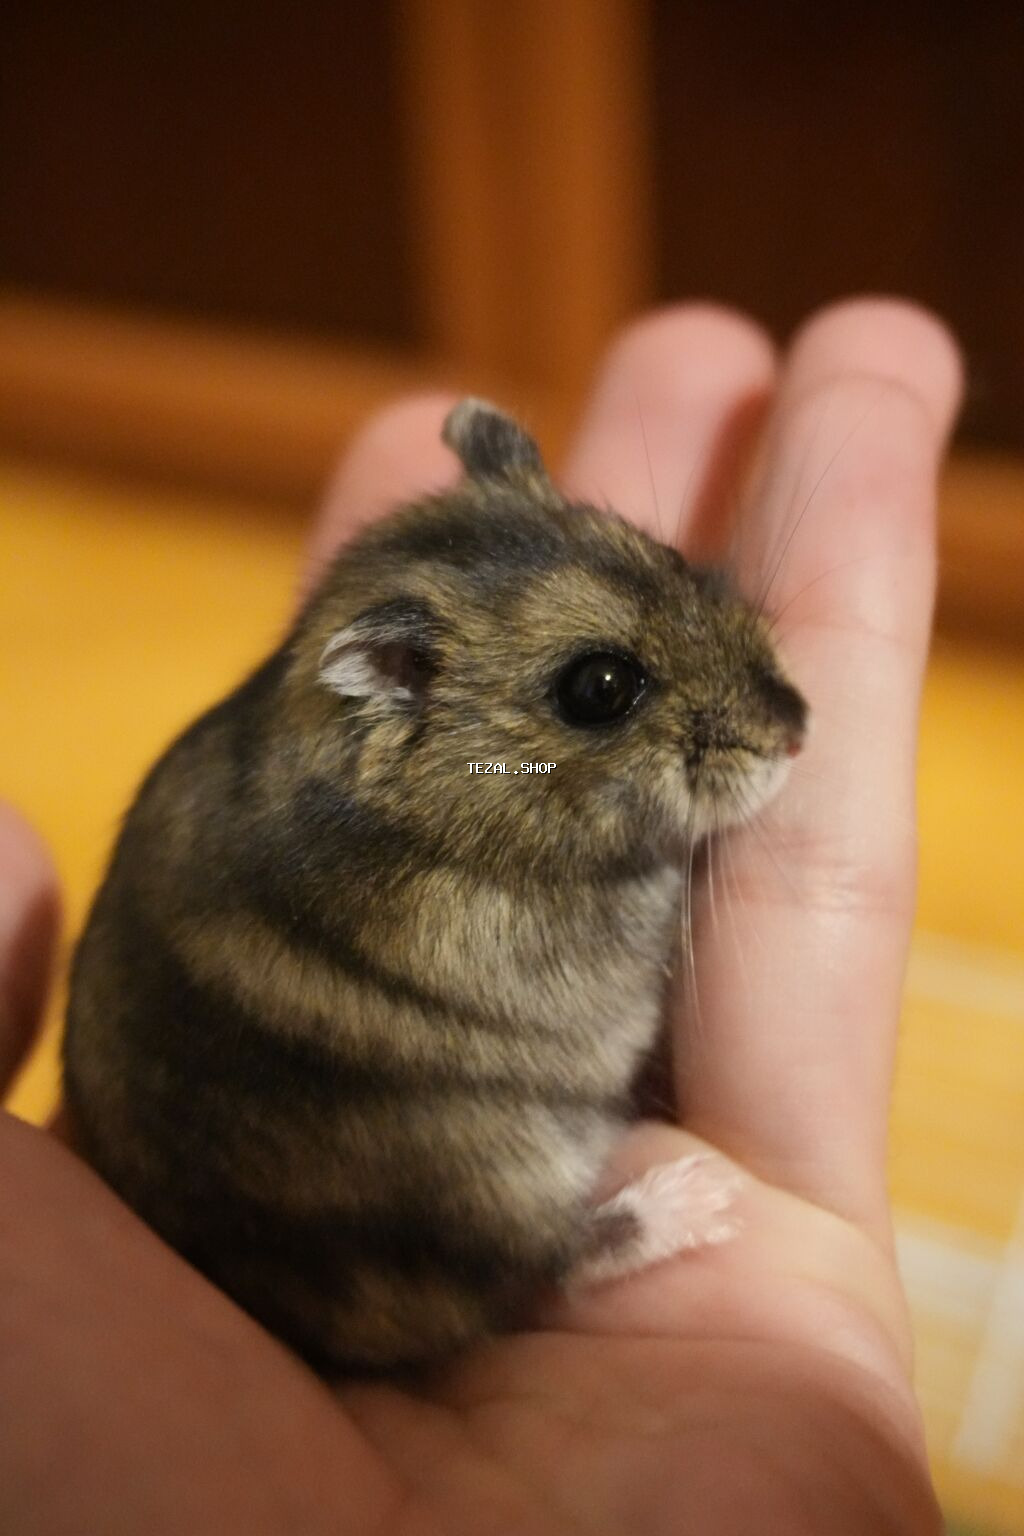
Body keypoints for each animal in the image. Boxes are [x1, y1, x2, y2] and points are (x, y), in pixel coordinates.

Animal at [63, 399, 807, 1377]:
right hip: (496, 1174)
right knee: (550, 1264)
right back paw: (697, 1202)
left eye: (669, 557)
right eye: (601, 687)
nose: (800, 728)